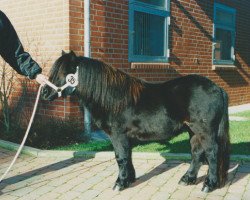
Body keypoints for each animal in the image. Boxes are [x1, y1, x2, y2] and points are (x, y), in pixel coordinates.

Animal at [41, 50, 230, 193]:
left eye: (63, 73)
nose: (44, 92)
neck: (113, 98)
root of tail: (217, 88)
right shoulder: (126, 137)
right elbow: (128, 156)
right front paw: (129, 179)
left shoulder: (117, 135)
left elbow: (121, 157)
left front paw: (120, 183)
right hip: (193, 130)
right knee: (197, 153)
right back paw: (187, 179)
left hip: (204, 131)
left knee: (212, 153)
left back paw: (209, 184)